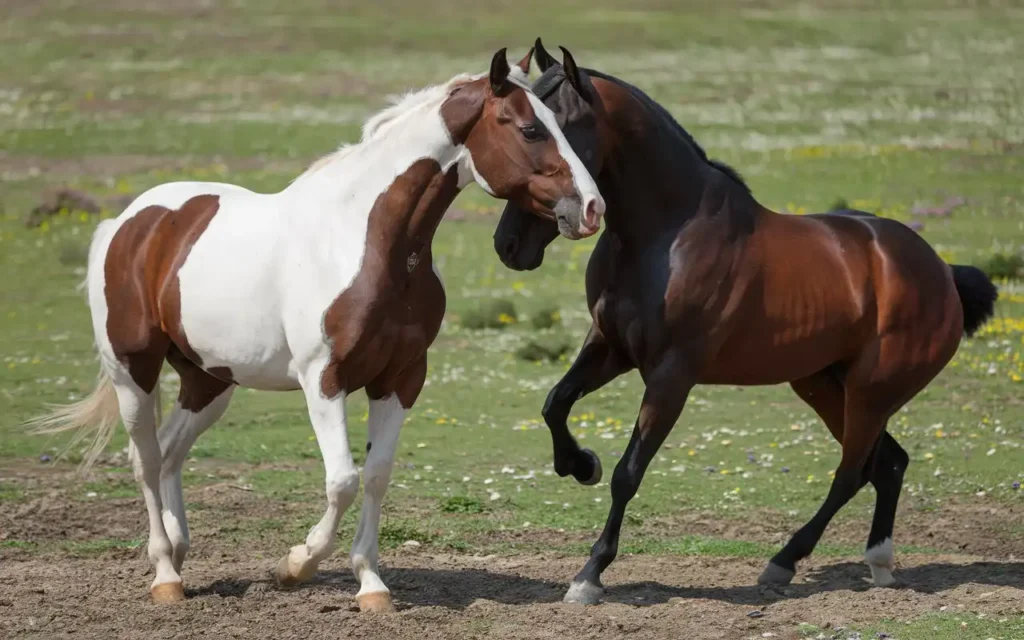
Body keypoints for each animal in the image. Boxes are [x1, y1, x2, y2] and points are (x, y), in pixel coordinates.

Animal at [32, 48, 602, 610]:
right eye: (530, 129)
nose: (591, 208)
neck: (369, 244)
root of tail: (128, 222)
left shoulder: (401, 378)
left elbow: (376, 475)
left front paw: (371, 584)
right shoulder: (323, 380)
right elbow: (343, 480)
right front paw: (294, 565)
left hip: (208, 381)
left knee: (171, 450)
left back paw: (179, 550)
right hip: (134, 371)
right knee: (146, 460)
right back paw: (166, 574)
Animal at [491, 39, 995, 602]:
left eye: (552, 130)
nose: (508, 244)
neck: (666, 234)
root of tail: (943, 273)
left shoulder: (671, 375)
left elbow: (628, 473)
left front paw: (590, 574)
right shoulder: (610, 347)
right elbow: (555, 404)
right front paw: (579, 465)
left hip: (872, 391)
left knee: (852, 473)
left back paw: (784, 561)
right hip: (824, 385)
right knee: (887, 464)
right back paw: (875, 563)